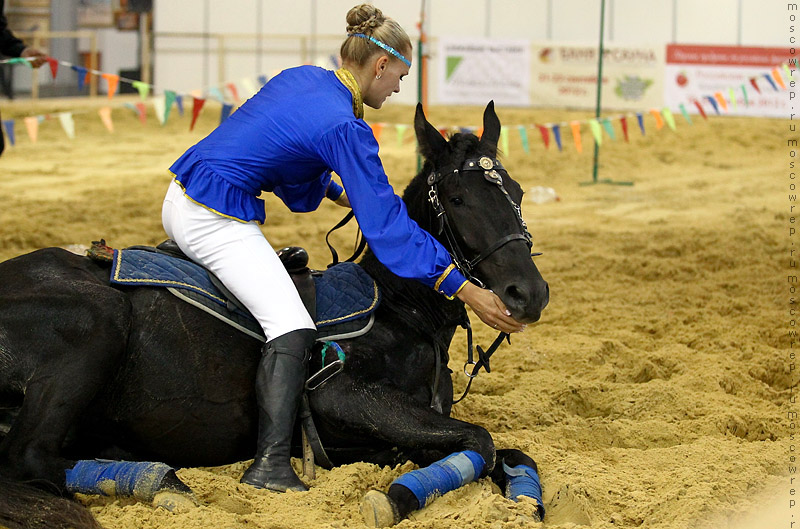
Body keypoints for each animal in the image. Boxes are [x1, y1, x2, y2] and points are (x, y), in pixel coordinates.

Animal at [0, 101, 552, 524]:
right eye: (457, 198)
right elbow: (480, 441)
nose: (529, 293)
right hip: (98, 321)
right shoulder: (344, 396)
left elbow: (510, 452)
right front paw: (396, 496)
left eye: (519, 193)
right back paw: (159, 480)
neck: (403, 313)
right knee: (29, 458)